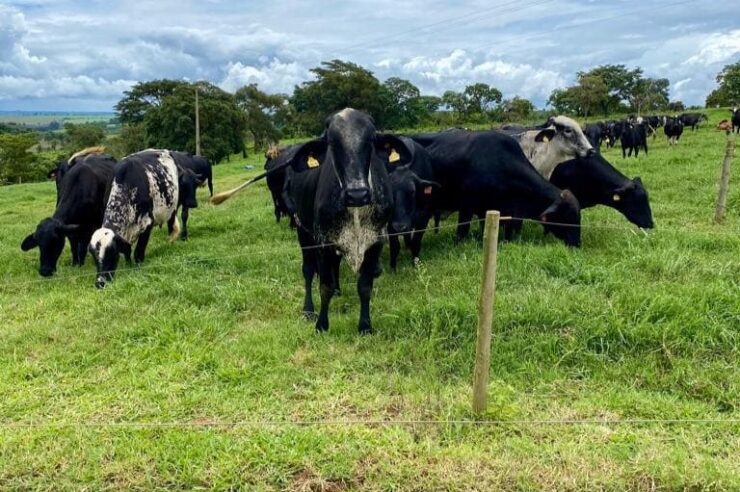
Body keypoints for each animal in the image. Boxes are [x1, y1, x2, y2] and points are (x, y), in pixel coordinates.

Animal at [88, 149, 198, 288]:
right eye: (93, 256)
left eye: (111, 252)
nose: (100, 283)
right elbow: (127, 250)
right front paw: (128, 265)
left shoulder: (147, 225)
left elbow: (138, 253)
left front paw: (137, 269)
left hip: (178, 203)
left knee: (177, 220)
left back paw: (175, 240)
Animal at [280, 108, 411, 334]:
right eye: (332, 143)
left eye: (371, 140)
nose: (357, 194)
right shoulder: (323, 241)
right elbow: (324, 286)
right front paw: (321, 324)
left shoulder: (376, 240)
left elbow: (365, 286)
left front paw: (365, 326)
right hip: (302, 230)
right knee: (308, 270)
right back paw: (308, 310)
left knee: (335, 267)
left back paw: (339, 291)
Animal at [385, 136, 440, 271]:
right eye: (389, 191)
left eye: (412, 191)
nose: (400, 226)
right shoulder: (391, 222)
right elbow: (395, 246)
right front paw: (393, 268)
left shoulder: (423, 218)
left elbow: (416, 242)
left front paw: (416, 264)